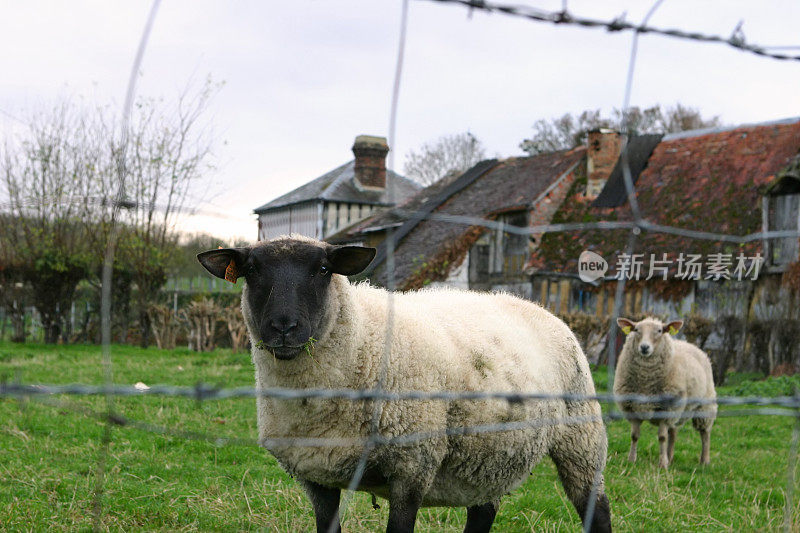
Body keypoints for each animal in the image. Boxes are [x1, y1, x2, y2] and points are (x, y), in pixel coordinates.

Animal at [200, 237, 612, 532]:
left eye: (323, 269)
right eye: (251, 270)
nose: (284, 327)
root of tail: (534, 305)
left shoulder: (412, 467)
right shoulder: (315, 476)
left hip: (581, 436)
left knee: (597, 508)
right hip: (488, 452)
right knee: (483, 511)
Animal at [612, 316, 720, 470]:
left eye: (659, 331)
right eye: (636, 330)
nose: (644, 347)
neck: (645, 382)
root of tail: (689, 344)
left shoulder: (666, 409)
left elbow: (662, 438)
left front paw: (662, 464)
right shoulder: (633, 408)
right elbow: (634, 436)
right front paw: (631, 460)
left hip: (704, 405)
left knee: (705, 433)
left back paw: (704, 460)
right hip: (679, 408)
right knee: (673, 433)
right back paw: (670, 457)